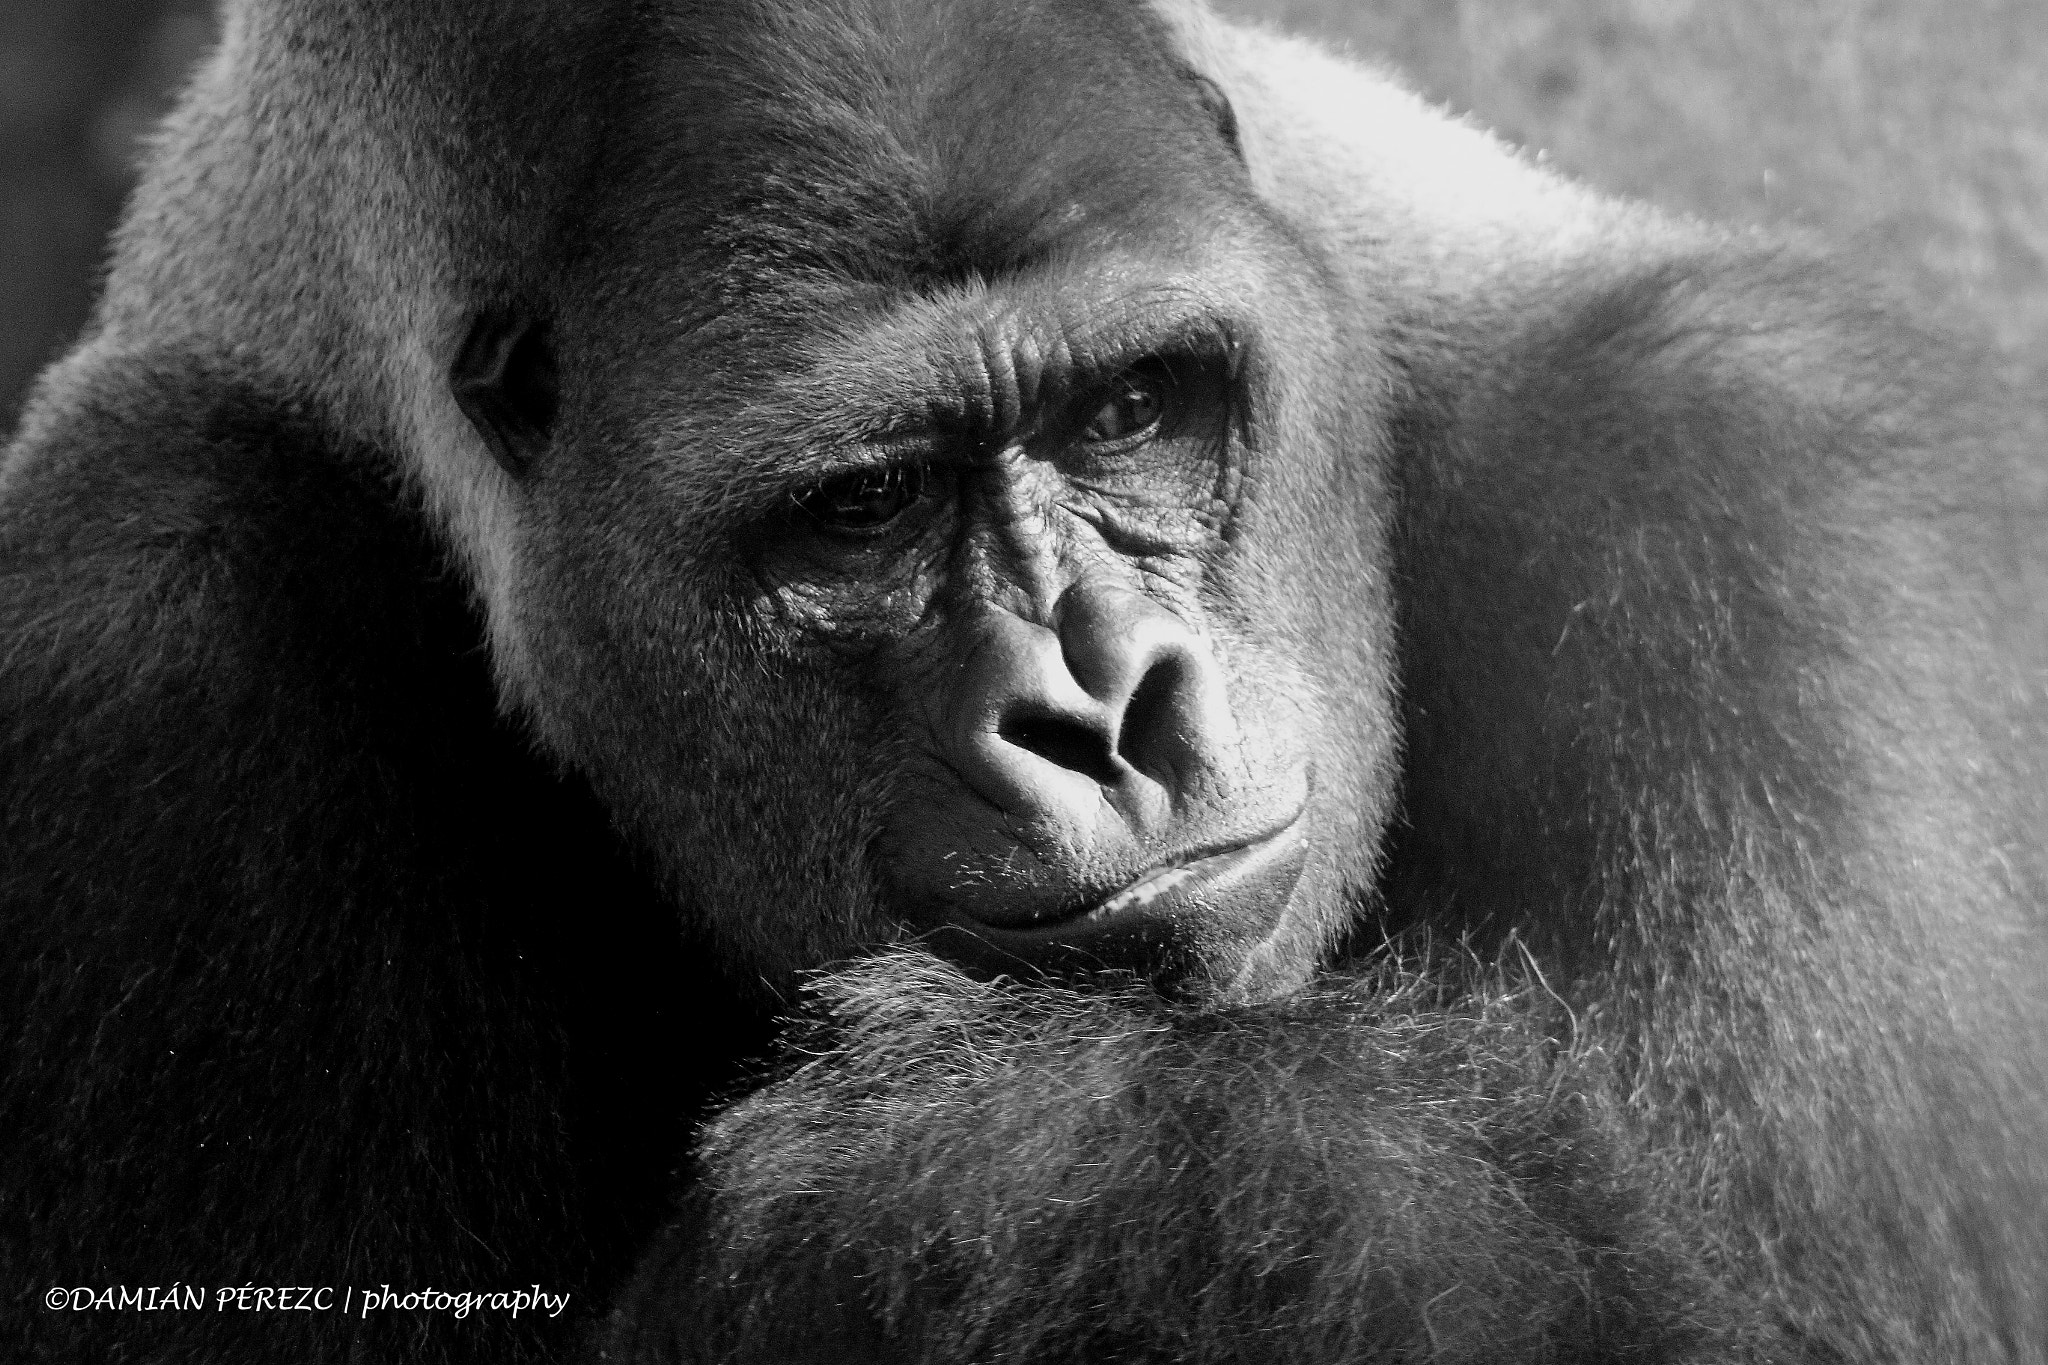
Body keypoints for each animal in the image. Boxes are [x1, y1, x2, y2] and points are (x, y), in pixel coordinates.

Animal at [2, 1, 2042, 1363]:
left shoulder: (1759, 497)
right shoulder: (137, 645)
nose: (1102, 712)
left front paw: (1066, 1181)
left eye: (1131, 406)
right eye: (865, 506)